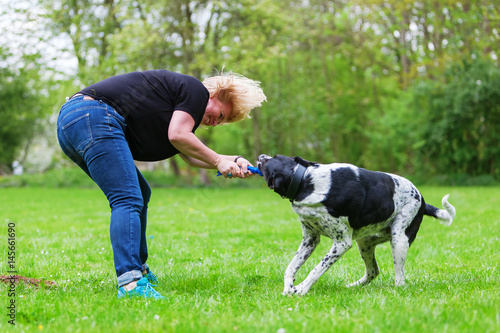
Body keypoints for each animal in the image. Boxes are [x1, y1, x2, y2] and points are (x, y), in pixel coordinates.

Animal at [258, 154, 458, 294]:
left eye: (272, 159)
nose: (260, 156)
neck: (306, 182)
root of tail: (422, 200)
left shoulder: (341, 243)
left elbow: (316, 270)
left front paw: (301, 289)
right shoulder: (310, 240)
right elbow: (290, 268)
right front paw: (288, 288)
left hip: (398, 240)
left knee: (400, 279)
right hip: (365, 242)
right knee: (373, 271)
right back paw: (353, 286)